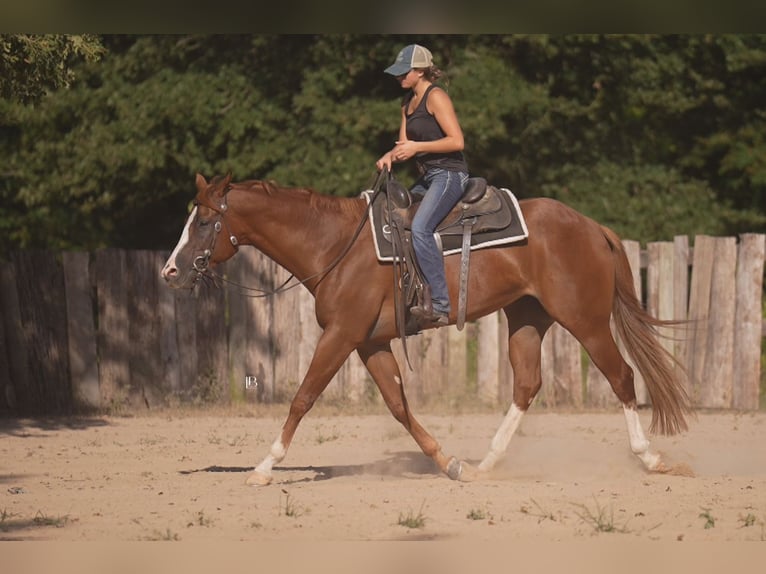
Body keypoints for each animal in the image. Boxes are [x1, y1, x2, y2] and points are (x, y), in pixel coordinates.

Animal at [161, 172, 692, 486]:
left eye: (204, 221)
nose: (170, 271)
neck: (334, 244)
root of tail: (591, 226)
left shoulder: (341, 336)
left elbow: (303, 397)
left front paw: (265, 466)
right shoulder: (370, 343)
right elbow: (399, 406)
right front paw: (446, 462)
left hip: (585, 320)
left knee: (621, 377)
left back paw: (650, 458)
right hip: (526, 317)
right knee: (526, 385)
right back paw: (485, 464)